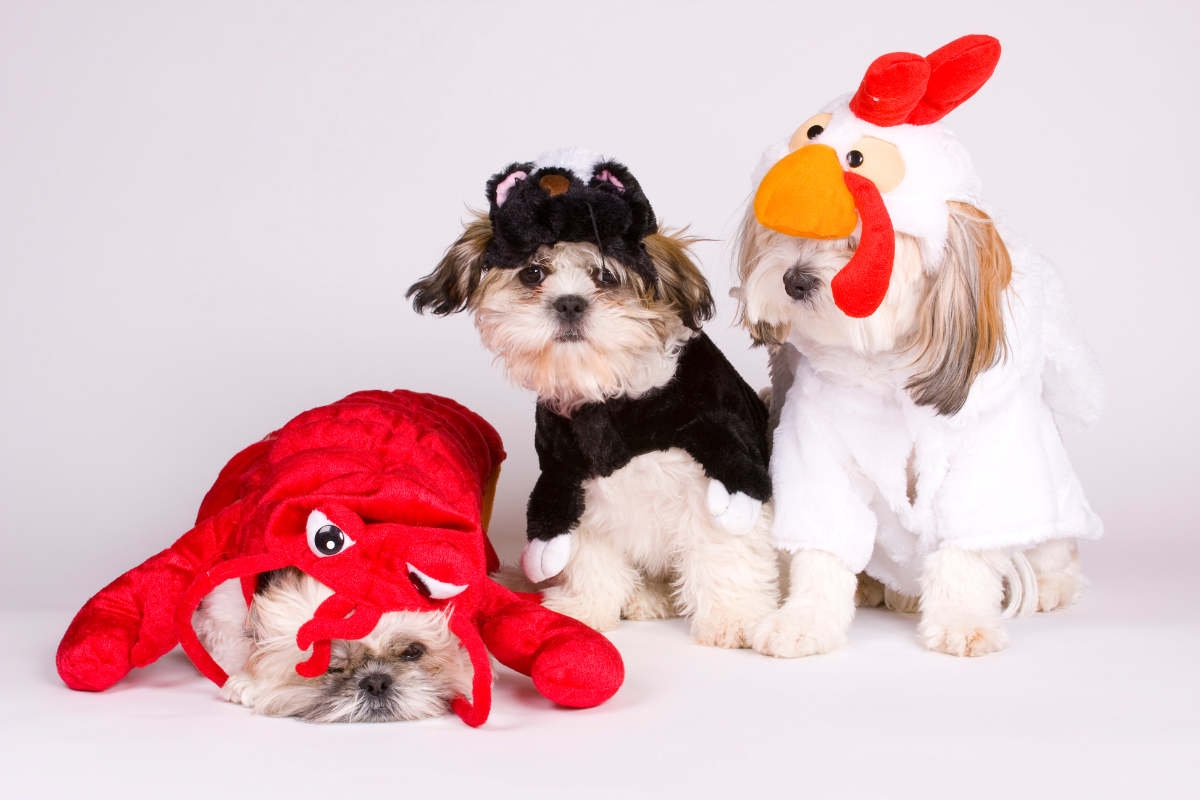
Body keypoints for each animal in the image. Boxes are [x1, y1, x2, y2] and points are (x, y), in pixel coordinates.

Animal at [408, 148, 782, 652]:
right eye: (533, 273)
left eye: (606, 276)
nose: (569, 303)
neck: (612, 398)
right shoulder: (572, 477)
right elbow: (586, 552)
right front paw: (586, 609)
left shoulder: (718, 460)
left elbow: (726, 550)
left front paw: (734, 617)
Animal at [724, 35, 1099, 657]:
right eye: (785, 231)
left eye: (857, 243)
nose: (794, 280)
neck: (886, 372)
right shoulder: (816, 448)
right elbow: (821, 549)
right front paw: (805, 620)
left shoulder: (983, 457)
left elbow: (965, 552)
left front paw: (963, 620)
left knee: (1053, 549)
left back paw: (1049, 585)